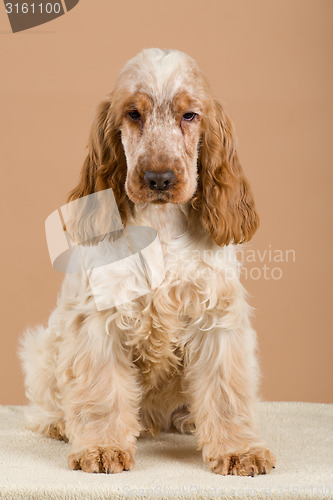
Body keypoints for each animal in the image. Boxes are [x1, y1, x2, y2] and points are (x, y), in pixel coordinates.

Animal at [19, 47, 276, 476]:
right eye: (133, 114)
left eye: (189, 115)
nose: (159, 178)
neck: (160, 223)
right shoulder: (99, 319)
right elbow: (102, 390)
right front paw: (102, 448)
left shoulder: (217, 316)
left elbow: (225, 392)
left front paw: (239, 450)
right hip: (44, 345)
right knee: (46, 403)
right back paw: (60, 423)